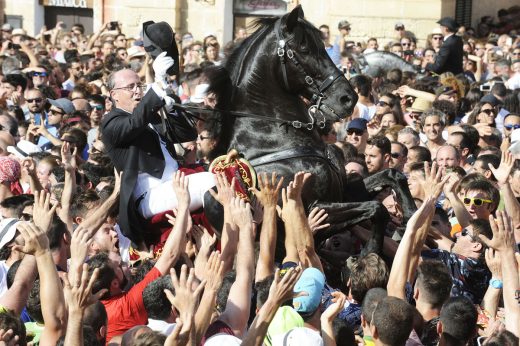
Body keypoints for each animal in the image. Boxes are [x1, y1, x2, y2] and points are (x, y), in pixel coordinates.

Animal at [203, 4, 414, 254]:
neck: (271, 137)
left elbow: (393, 174)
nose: (348, 98)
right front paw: (371, 251)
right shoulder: (314, 208)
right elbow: (377, 209)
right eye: (304, 49)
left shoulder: (343, 192)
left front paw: (411, 216)